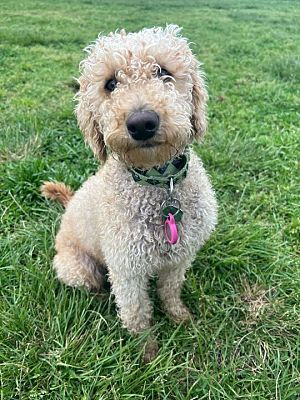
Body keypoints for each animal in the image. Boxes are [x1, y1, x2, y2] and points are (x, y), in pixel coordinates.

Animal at [41, 25, 217, 362]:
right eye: (110, 83)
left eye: (164, 72)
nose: (142, 123)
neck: (159, 183)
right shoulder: (126, 268)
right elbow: (137, 312)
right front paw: (148, 353)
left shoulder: (180, 257)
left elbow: (170, 291)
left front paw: (180, 318)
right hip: (78, 269)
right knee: (94, 284)